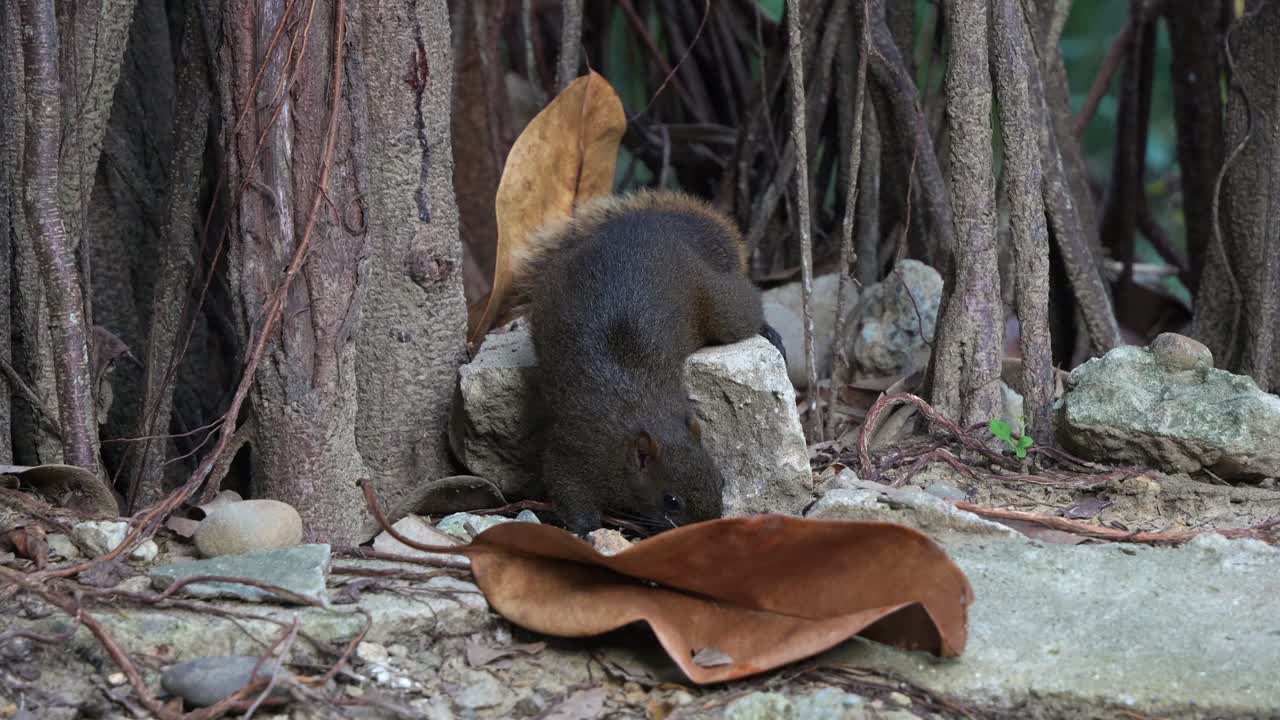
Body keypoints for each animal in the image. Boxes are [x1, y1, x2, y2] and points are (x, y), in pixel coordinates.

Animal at [512, 189, 786, 535]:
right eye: (671, 501)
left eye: (721, 481)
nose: (709, 526)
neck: (641, 414)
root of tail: (662, 225)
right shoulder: (575, 448)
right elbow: (567, 489)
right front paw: (588, 530)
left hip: (718, 304)